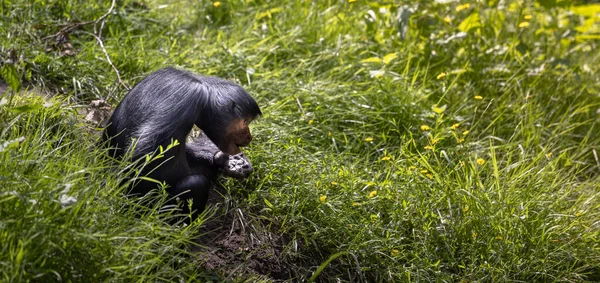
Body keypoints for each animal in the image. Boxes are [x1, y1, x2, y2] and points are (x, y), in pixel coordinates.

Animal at [102, 67, 260, 219]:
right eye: (245, 121)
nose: (249, 136)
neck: (202, 86)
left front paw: (226, 161)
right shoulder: (188, 99)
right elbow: (142, 155)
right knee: (196, 183)